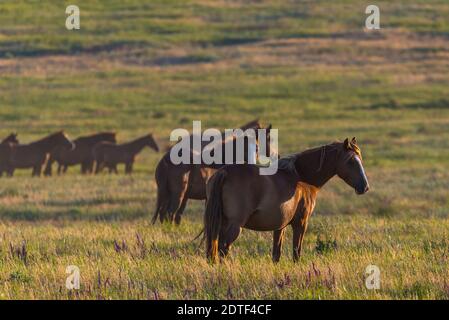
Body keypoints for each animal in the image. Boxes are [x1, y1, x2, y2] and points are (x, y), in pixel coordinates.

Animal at [205, 137, 370, 262]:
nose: (365, 187)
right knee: (223, 249)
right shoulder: (301, 223)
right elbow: (296, 252)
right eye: (351, 161)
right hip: (234, 225)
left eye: (360, 159)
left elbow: (276, 254)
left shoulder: (280, 226)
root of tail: (225, 172)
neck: (300, 177)